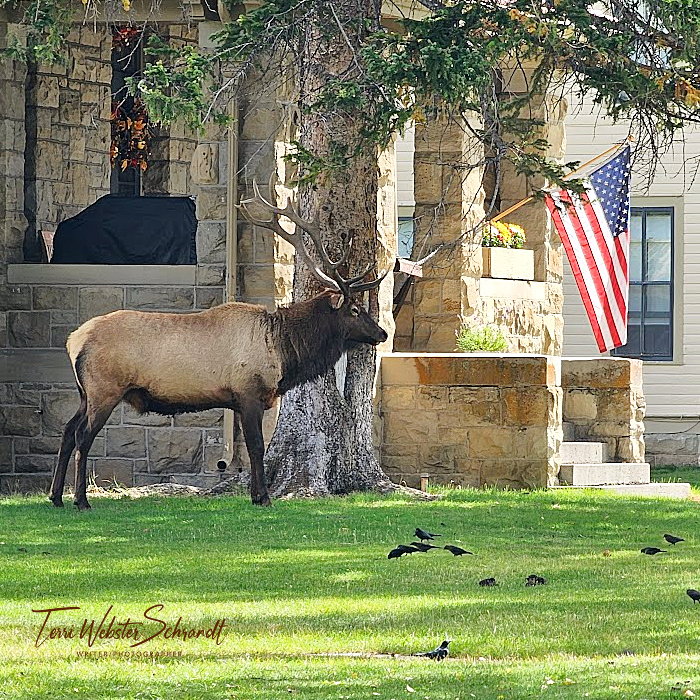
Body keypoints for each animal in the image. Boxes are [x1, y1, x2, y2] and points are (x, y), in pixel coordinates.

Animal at [49, 183, 388, 510]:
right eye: (355, 310)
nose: (382, 333)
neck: (283, 351)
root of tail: (73, 340)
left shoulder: (238, 400)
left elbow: (251, 446)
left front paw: (255, 495)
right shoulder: (248, 391)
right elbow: (256, 445)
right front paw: (263, 497)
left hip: (85, 393)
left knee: (67, 432)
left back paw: (55, 497)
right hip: (104, 389)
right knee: (82, 435)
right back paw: (80, 500)